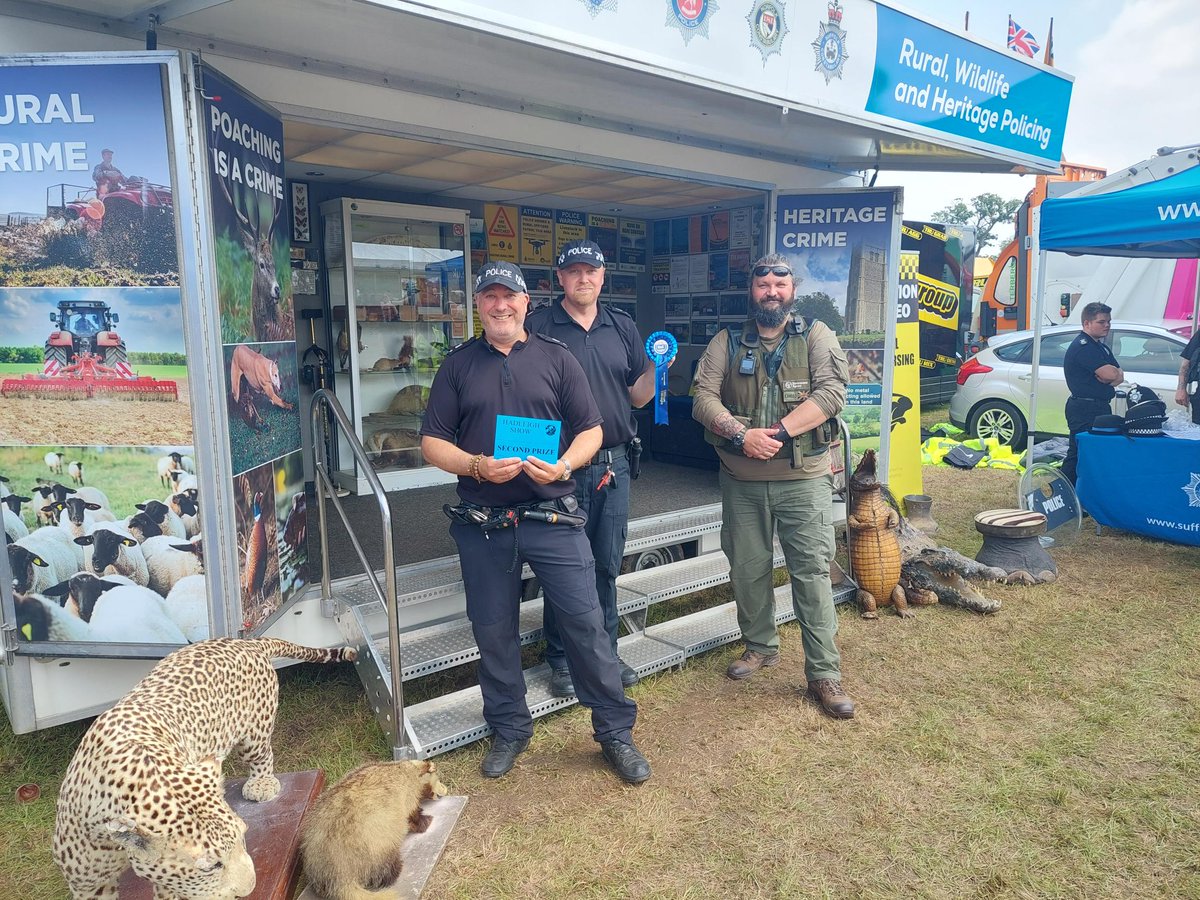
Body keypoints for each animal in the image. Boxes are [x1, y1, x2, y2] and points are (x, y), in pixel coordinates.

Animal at [55, 638, 355, 897]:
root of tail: (245, 641)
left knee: (262, 756)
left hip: (253, 734)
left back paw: (261, 785)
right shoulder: (88, 883)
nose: (249, 890)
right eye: (211, 866)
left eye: (244, 838)